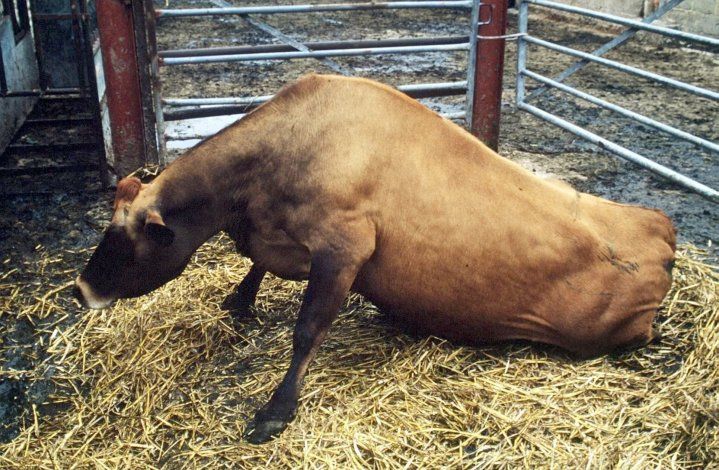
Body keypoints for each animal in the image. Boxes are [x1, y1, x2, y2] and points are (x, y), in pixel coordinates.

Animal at [74, 74, 676, 444]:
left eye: (127, 239)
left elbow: (308, 330)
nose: (81, 290)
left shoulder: (346, 245)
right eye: (107, 229)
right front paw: (238, 299)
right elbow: (258, 268)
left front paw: (275, 412)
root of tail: (664, 232)